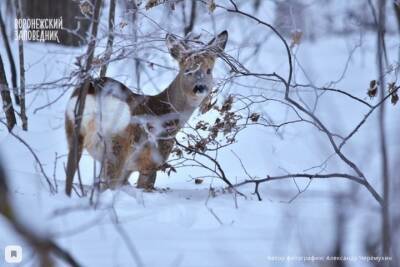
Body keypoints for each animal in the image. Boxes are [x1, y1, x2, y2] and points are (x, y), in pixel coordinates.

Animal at [65, 30, 228, 191]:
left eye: (209, 70)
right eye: (187, 70)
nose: (200, 87)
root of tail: (93, 91)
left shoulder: (129, 168)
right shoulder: (152, 161)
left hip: (73, 129)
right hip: (118, 142)